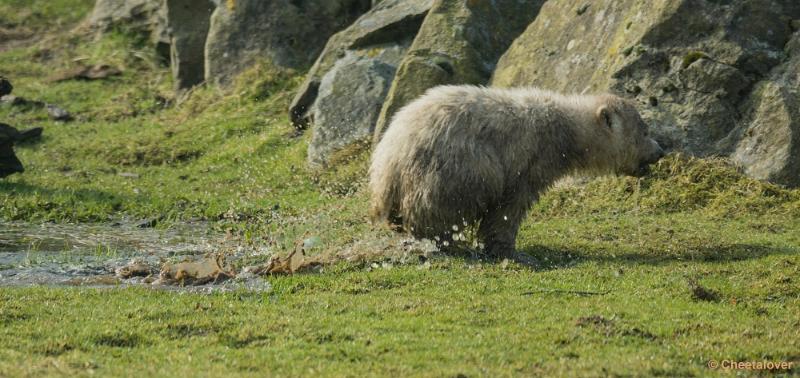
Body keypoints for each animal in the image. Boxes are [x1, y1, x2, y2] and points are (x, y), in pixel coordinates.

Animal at [368, 85, 664, 260]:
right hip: (453, 166)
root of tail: (389, 159)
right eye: (644, 130)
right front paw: (509, 250)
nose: (660, 151)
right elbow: (509, 206)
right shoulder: (531, 159)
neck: (566, 130)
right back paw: (445, 241)